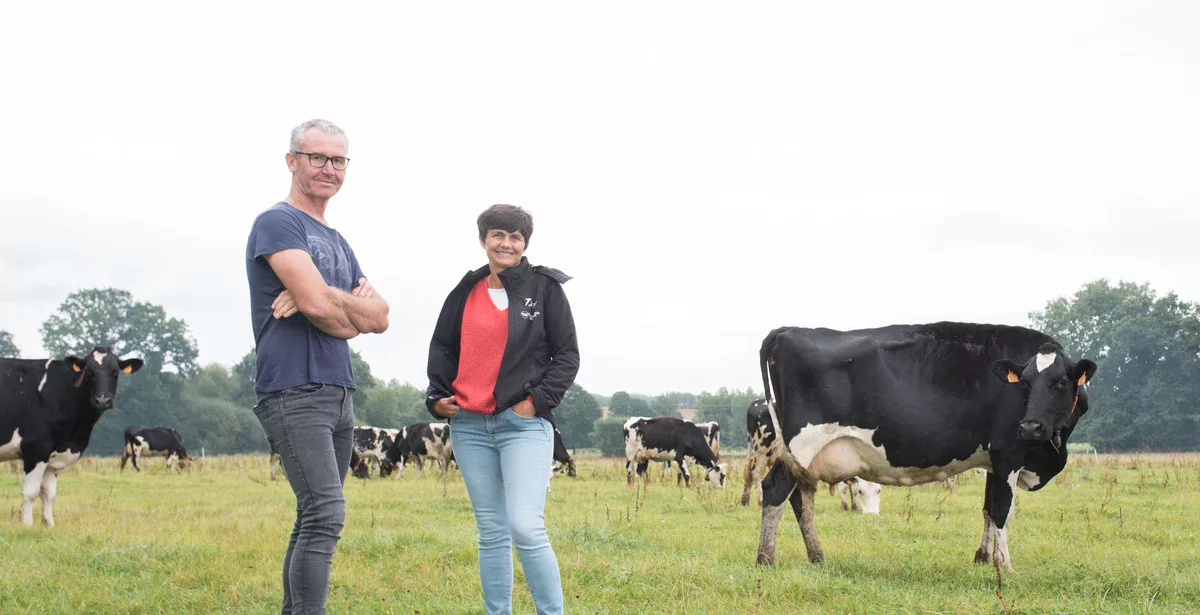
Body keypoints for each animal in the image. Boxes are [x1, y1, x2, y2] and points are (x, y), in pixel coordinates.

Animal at [0, 348, 142, 526]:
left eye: (115, 372)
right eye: (89, 372)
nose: (102, 400)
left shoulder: (54, 456)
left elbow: (48, 494)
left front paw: (49, 525)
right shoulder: (36, 449)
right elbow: (30, 492)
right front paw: (27, 526)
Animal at [758, 324, 1099, 569]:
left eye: (1061, 382)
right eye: (1024, 383)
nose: (1030, 427)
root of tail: (787, 330)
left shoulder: (993, 460)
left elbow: (988, 509)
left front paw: (982, 558)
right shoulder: (1009, 453)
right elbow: (1003, 510)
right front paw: (1005, 566)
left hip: (806, 456)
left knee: (801, 497)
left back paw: (816, 556)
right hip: (803, 442)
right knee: (775, 488)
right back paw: (766, 559)